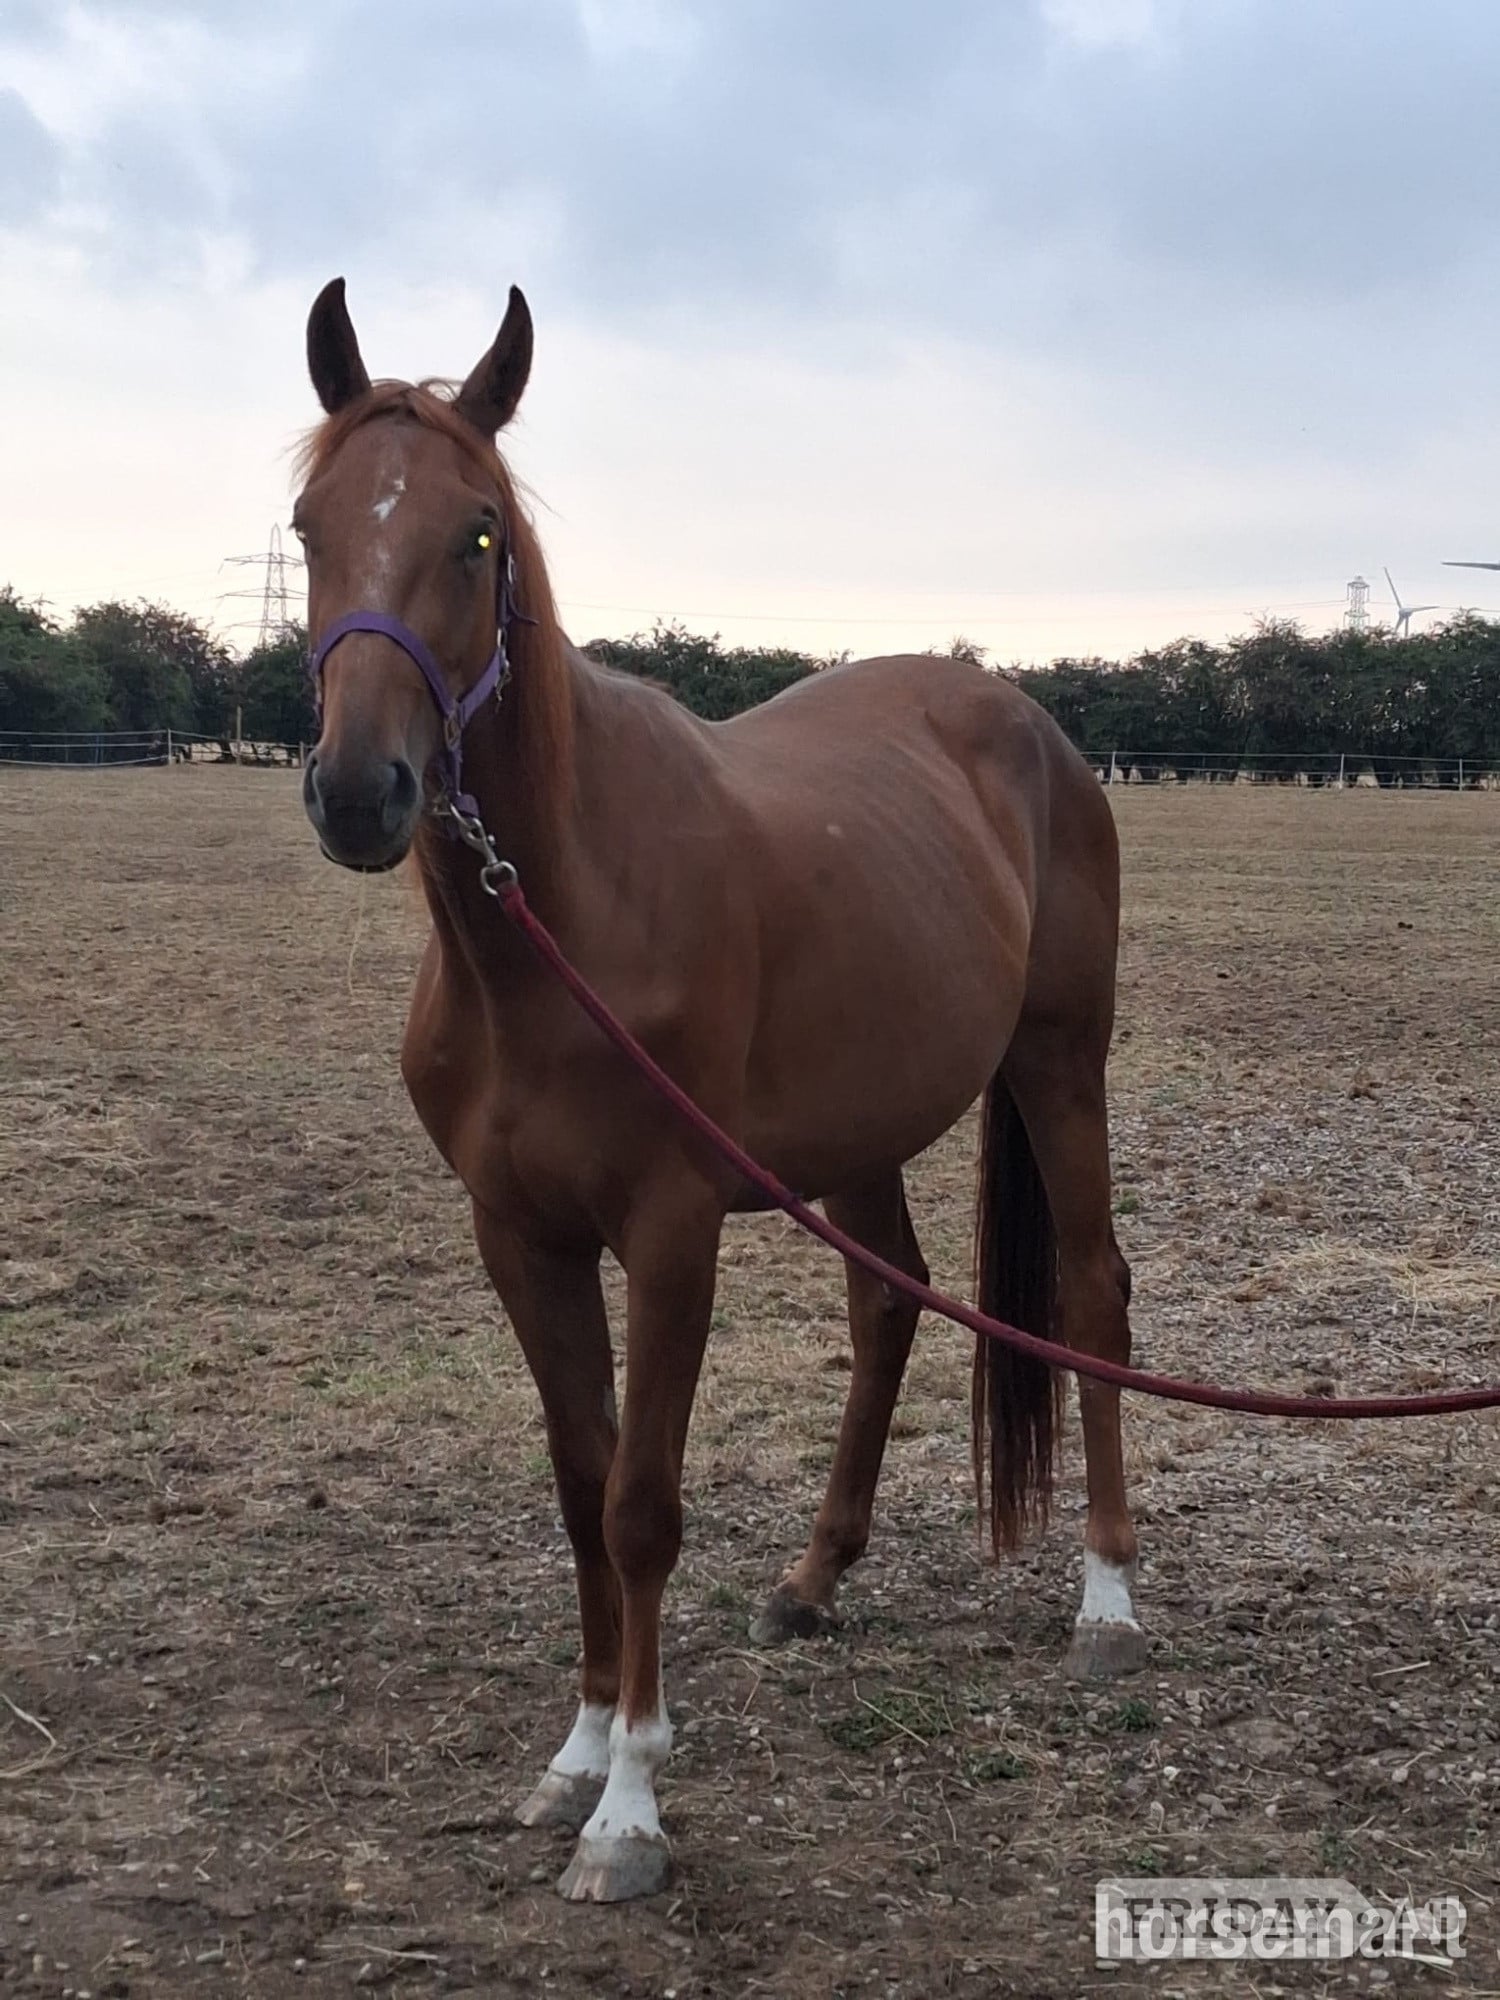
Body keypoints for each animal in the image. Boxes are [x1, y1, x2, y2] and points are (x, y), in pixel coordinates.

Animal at [294, 278, 1143, 1903]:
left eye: (478, 531)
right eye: (307, 523)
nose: (361, 792)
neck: (560, 921)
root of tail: (1023, 719)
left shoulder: (671, 1229)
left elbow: (642, 1502)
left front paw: (630, 1806)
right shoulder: (522, 1236)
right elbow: (582, 1480)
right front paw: (575, 1753)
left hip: (1062, 1067)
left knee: (1089, 1292)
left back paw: (1109, 1601)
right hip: (860, 1131)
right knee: (889, 1306)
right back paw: (814, 1579)